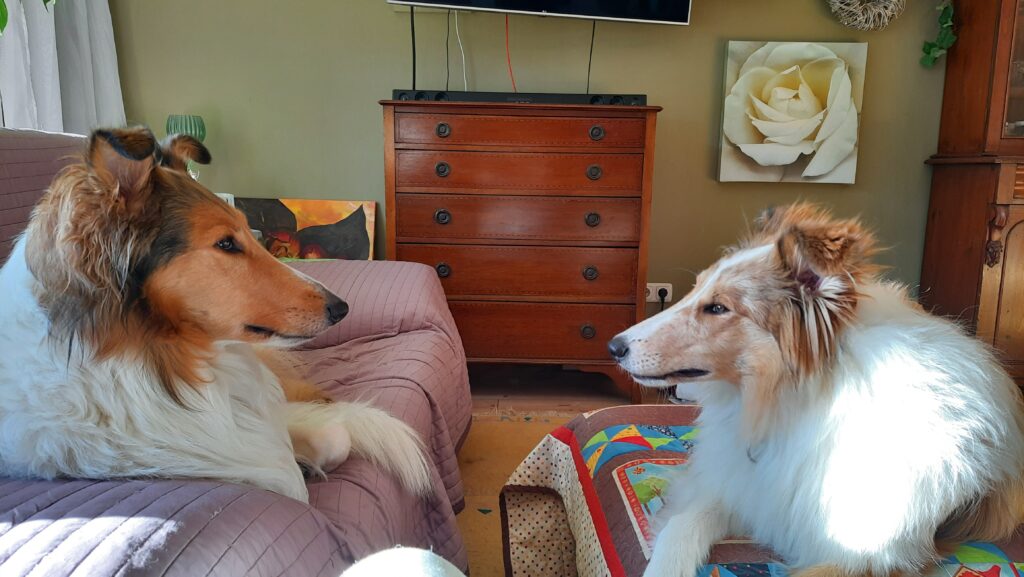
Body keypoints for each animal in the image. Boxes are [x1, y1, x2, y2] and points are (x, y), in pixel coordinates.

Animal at [609, 203, 1024, 577]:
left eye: (718, 308)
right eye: (694, 290)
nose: (614, 347)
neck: (793, 404)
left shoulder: (870, 555)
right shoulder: (743, 489)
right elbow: (679, 526)